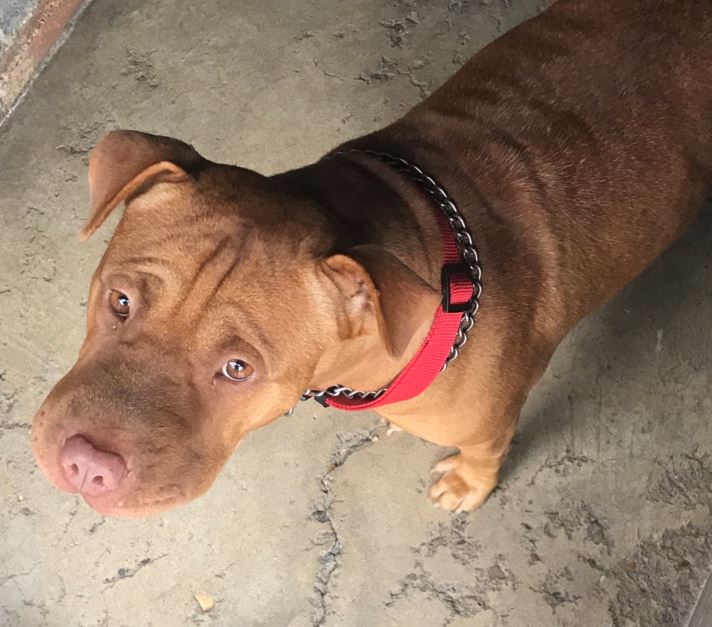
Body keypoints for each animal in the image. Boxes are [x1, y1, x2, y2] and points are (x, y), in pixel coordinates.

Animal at [32, 0, 712, 516]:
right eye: (119, 300)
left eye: (237, 368)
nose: (85, 465)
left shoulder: (491, 423)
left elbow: (485, 451)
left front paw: (468, 484)